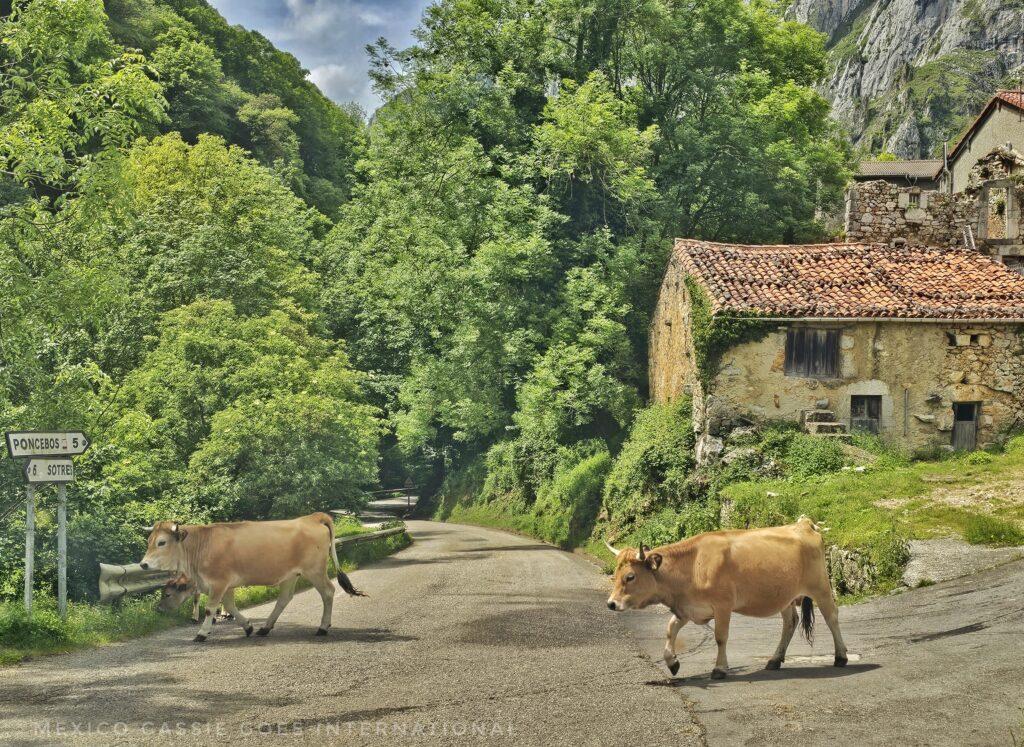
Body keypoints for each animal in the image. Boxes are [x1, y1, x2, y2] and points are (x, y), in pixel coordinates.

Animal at [140, 512, 365, 642]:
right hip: (291, 575)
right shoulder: (227, 586)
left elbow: (210, 609)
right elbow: (230, 606)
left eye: (161, 542)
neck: (201, 545)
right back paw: (265, 628)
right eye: (149, 541)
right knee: (284, 599)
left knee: (328, 592)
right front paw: (248, 627)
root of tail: (311, 517)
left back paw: (322, 628)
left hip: (315, 570)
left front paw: (201, 634)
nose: (143, 564)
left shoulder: (219, 583)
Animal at [605, 516, 848, 679]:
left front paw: (719, 668)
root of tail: (804, 524)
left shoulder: (722, 605)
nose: (611, 603)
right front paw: (672, 662)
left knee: (832, 617)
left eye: (630, 576)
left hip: (820, 586)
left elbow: (720, 637)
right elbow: (670, 630)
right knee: (790, 622)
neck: (692, 565)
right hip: (785, 595)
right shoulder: (687, 608)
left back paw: (841, 656)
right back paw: (774, 660)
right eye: (615, 574)